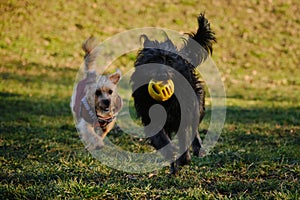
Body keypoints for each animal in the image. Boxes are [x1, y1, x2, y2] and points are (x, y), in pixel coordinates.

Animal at [131, 13, 216, 173]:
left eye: (169, 61)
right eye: (153, 60)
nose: (162, 74)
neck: (166, 102)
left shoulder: (184, 113)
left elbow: (185, 136)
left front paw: (184, 158)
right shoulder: (151, 118)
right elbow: (161, 139)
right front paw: (173, 155)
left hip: (198, 106)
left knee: (194, 130)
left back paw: (197, 149)